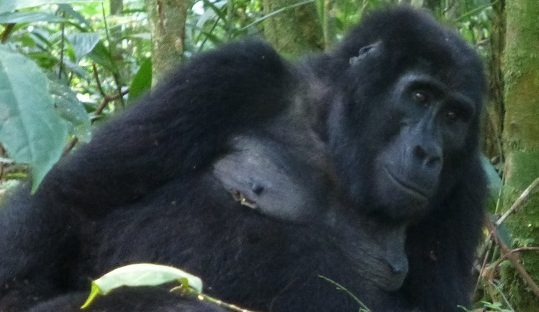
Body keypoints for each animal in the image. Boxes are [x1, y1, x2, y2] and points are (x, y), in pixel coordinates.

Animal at [0, 6, 488, 312]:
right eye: (420, 96)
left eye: (454, 117)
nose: (429, 154)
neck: (329, 130)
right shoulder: (235, 74)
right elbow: (76, 194)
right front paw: (20, 293)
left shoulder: (466, 187)